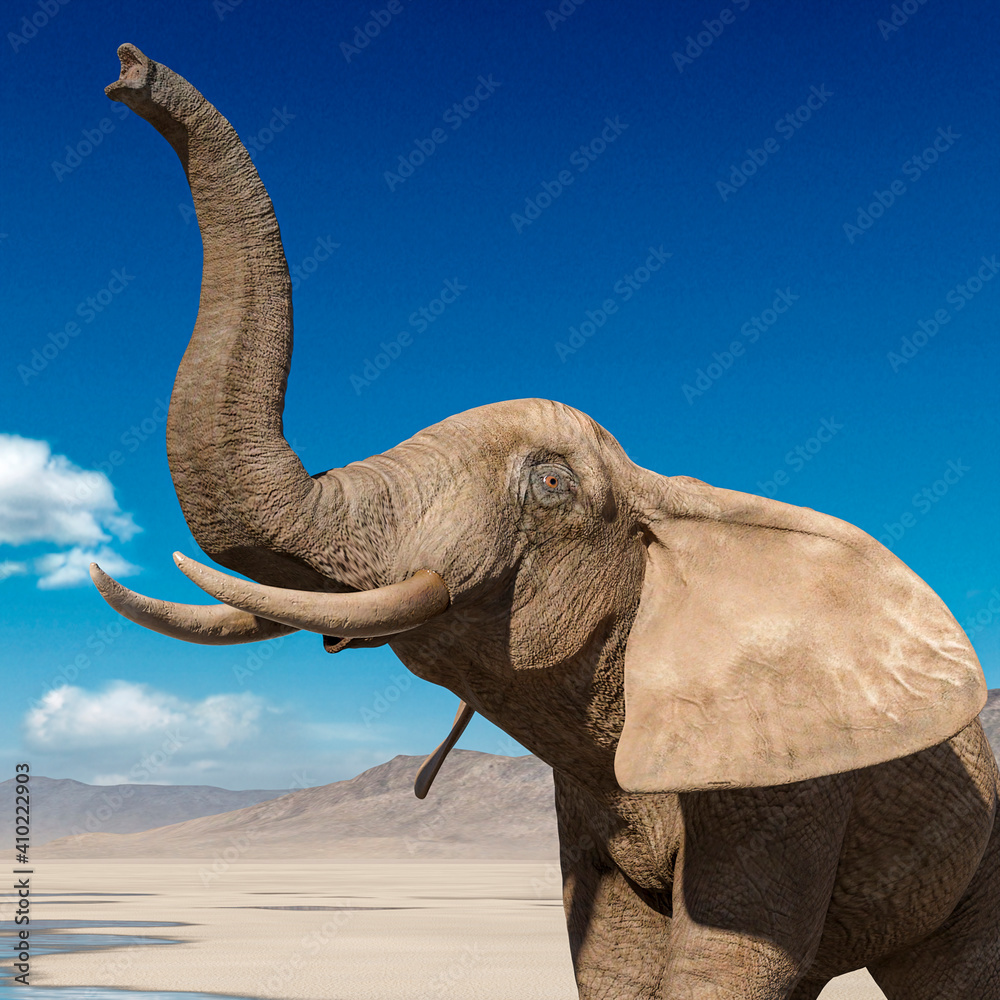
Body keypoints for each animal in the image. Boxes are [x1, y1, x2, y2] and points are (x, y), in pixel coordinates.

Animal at [90, 44, 1000, 998]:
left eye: (554, 484)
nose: (128, 71)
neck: (666, 503)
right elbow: (612, 963)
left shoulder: (782, 778)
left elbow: (725, 965)